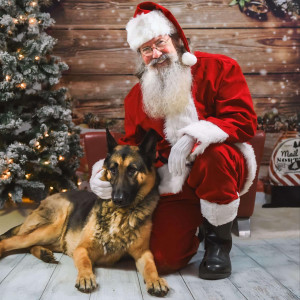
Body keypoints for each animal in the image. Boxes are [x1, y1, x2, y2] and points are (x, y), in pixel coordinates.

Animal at [0, 129, 169, 298]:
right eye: (113, 170)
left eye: (132, 170)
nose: (117, 199)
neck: (121, 214)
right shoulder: (81, 249)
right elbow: (85, 262)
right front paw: (86, 277)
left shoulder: (143, 253)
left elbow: (151, 265)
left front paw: (156, 280)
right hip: (52, 228)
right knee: (13, 241)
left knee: (28, 245)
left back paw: (43, 253)